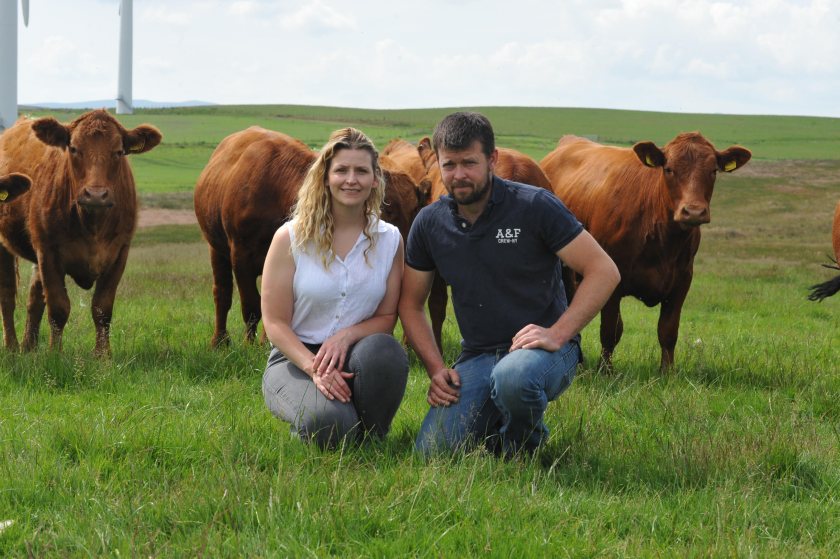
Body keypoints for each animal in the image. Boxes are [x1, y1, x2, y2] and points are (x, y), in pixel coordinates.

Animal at [0, 109, 162, 354]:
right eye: (74, 148)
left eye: (118, 152)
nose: (95, 195)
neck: (92, 224)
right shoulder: (49, 254)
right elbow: (58, 308)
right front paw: (54, 353)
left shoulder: (119, 253)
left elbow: (102, 308)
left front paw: (103, 355)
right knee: (8, 295)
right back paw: (11, 347)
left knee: (33, 298)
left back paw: (29, 346)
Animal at [194, 126, 424, 350]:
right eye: (388, 208)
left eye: (415, 208)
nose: (405, 248)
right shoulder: (241, 254)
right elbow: (251, 306)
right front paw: (249, 345)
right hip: (217, 249)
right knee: (222, 293)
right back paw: (220, 341)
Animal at [540, 134, 752, 372]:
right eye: (668, 169)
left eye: (713, 170)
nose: (694, 211)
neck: (664, 239)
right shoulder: (612, 277)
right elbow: (611, 330)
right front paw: (605, 371)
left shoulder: (682, 280)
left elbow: (668, 331)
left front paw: (667, 372)